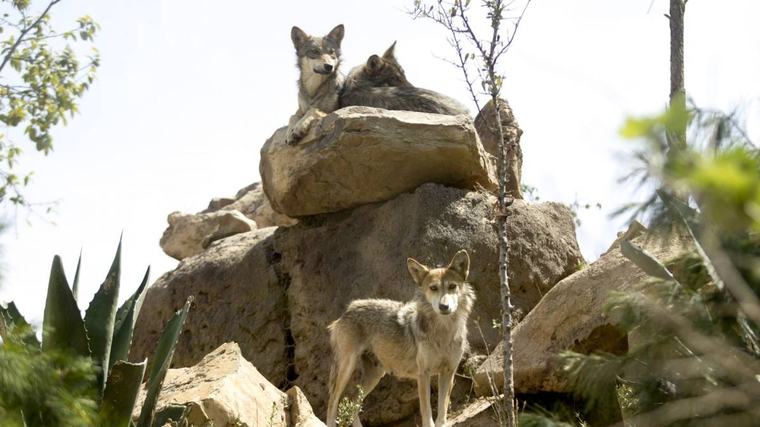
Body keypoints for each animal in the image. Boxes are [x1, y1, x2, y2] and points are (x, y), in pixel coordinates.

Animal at [326, 250, 476, 427]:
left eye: (452, 286)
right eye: (433, 288)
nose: (444, 307)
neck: (443, 332)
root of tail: (348, 309)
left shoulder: (448, 372)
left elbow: (442, 411)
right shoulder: (423, 374)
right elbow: (427, 413)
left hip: (375, 376)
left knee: (352, 402)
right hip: (346, 369)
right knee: (333, 401)